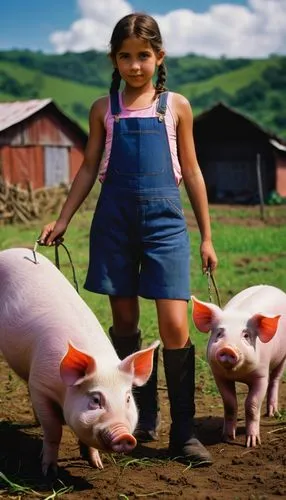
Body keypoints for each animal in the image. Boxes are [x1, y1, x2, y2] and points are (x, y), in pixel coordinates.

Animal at [0, 248, 159, 474]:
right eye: (95, 400)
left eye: (128, 399)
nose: (125, 436)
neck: (63, 392)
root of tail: (10, 250)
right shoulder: (41, 386)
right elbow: (53, 431)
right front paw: (49, 471)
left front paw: (97, 465)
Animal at [192, 288, 286, 448]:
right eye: (219, 333)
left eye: (246, 335)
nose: (228, 348)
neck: (238, 374)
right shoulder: (219, 375)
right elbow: (230, 404)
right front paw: (228, 438)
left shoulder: (261, 376)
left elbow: (252, 405)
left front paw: (252, 443)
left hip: (283, 357)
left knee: (275, 379)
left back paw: (272, 413)